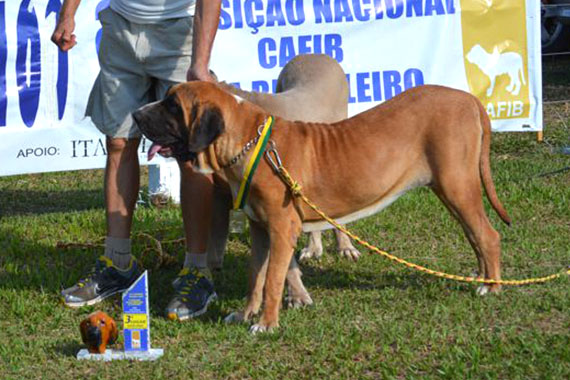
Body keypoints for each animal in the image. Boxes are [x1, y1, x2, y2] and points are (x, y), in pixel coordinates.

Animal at [133, 81, 510, 334]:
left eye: (172, 105)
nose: (135, 114)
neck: (249, 143)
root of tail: (469, 99)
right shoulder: (260, 230)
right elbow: (256, 278)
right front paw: (244, 315)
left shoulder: (281, 229)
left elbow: (273, 280)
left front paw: (266, 324)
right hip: (452, 191)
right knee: (475, 235)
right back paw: (480, 276)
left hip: (457, 186)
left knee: (488, 235)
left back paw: (491, 287)